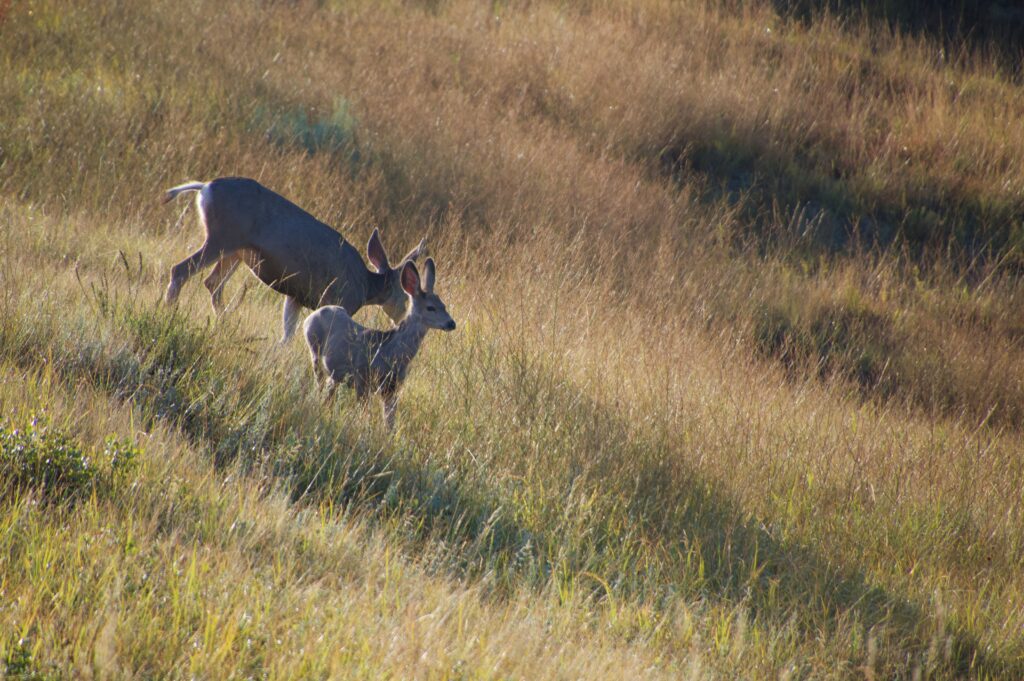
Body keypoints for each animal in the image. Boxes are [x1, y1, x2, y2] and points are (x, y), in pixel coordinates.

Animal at [161, 177, 427, 343]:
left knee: (212, 282)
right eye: (406, 294)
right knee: (180, 270)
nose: (402, 320)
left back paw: (225, 321)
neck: (365, 285)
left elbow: (287, 334)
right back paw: (170, 312)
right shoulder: (338, 299)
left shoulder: (295, 296)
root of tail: (205, 187)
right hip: (222, 238)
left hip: (236, 251)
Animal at [303, 257, 455, 429]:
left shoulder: (392, 387)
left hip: (335, 374)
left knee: (329, 392)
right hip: (314, 351)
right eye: (430, 307)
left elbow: (389, 421)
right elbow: (364, 414)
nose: (451, 323)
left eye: (443, 305)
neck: (389, 353)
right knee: (320, 386)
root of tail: (311, 316)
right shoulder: (361, 377)